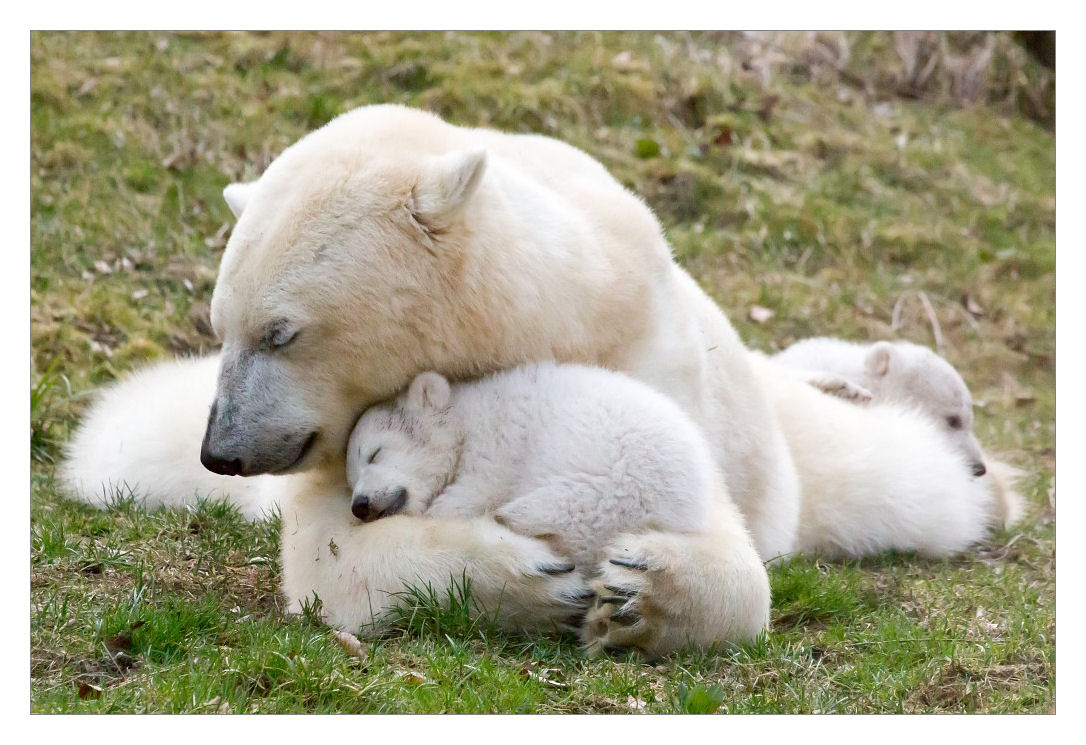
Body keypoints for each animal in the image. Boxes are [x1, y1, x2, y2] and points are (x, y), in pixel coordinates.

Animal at [61, 103, 999, 651]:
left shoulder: (643, 367)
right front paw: (527, 579)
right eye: (217, 326)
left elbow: (720, 548)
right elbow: (330, 555)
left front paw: (643, 591)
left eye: (279, 330)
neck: (532, 308)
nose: (223, 449)